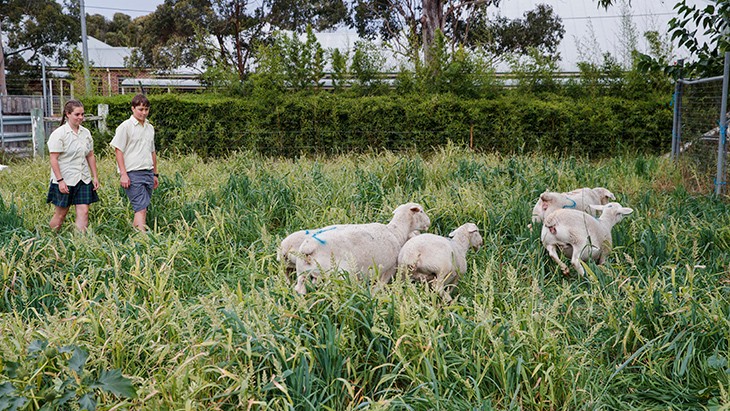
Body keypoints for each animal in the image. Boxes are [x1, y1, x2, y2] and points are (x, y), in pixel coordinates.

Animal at [294, 202, 430, 294]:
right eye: (421, 211)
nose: (429, 222)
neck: (396, 231)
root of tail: (308, 246)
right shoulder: (388, 269)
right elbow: (378, 287)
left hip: (303, 273)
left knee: (299, 289)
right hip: (337, 275)